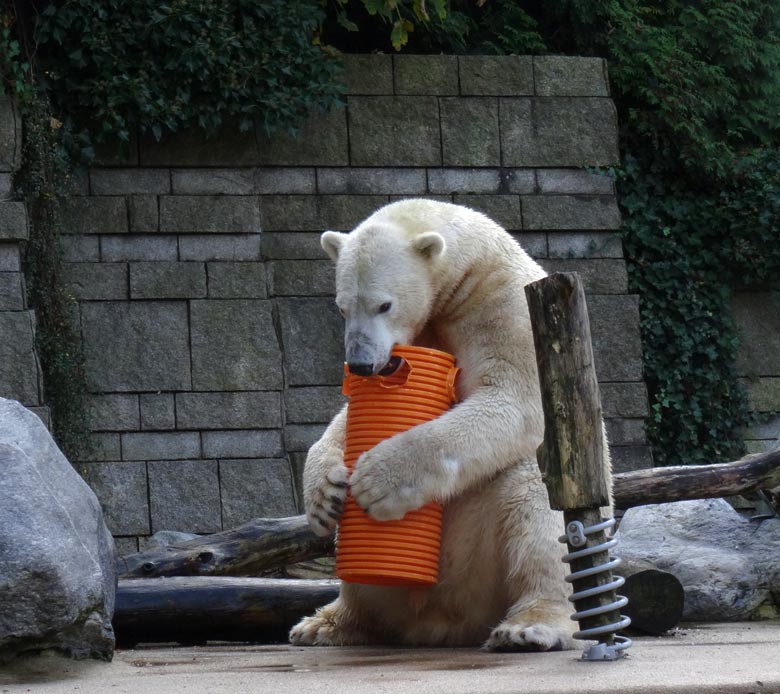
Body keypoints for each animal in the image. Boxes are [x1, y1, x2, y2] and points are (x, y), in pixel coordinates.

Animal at [290, 197, 580, 652]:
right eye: (342, 306)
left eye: (384, 305)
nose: (361, 362)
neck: (467, 272)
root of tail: (442, 618)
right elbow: (349, 415)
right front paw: (323, 495)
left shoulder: (508, 308)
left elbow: (512, 400)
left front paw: (378, 481)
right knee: (358, 585)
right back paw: (326, 624)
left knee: (536, 501)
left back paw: (528, 627)